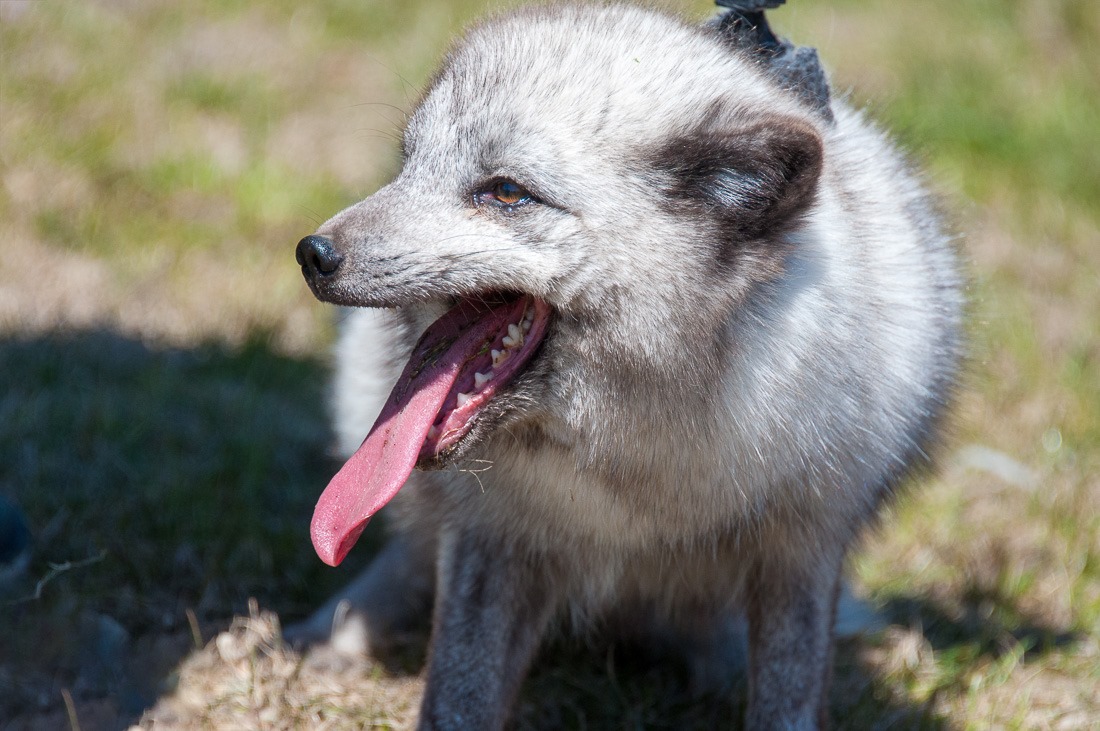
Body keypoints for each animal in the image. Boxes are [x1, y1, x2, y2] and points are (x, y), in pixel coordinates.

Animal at [292, 4, 963, 725]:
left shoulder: (805, 550)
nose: (312, 253)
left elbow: (788, 695)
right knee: (410, 545)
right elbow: (458, 690)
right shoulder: (492, 536)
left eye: (507, 193)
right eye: (408, 164)